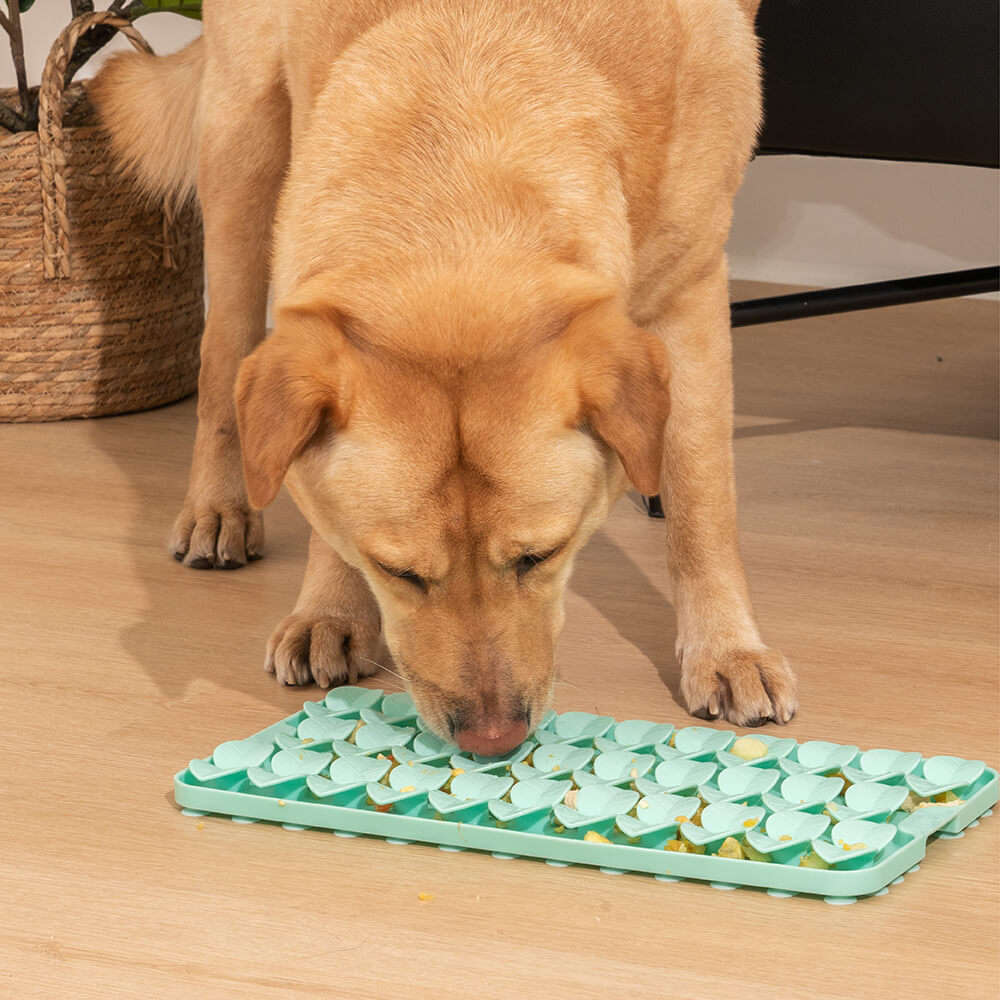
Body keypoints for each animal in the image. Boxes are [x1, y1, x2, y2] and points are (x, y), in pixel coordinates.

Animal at [92, 0, 796, 752]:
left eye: (541, 556)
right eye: (397, 572)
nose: (492, 741)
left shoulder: (692, 290)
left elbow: (701, 495)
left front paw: (727, 651)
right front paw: (331, 608)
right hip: (241, 145)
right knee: (222, 354)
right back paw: (218, 507)